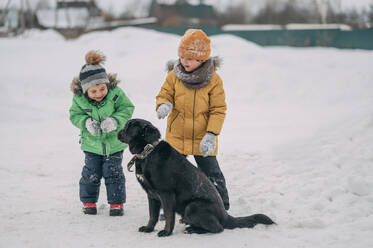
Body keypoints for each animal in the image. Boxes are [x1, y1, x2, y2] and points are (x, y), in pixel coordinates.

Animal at [117, 118, 274, 236]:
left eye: (130, 127)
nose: (118, 132)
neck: (147, 153)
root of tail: (225, 216)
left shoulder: (166, 193)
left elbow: (168, 215)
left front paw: (166, 232)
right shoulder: (152, 195)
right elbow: (153, 215)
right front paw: (149, 228)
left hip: (192, 206)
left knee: (218, 228)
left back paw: (193, 229)